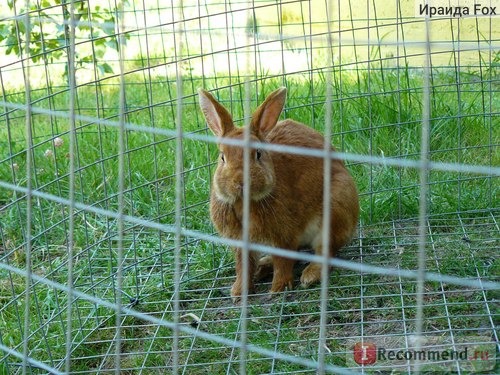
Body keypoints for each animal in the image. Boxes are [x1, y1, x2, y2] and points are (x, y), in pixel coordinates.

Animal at [197, 86, 358, 302]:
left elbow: (283, 262)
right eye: (222, 157)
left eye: (257, 154)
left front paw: (278, 289)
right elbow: (243, 266)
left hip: (334, 210)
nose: (240, 182)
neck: (244, 202)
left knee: (326, 251)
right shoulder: (240, 242)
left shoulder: (284, 235)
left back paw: (309, 275)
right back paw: (263, 267)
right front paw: (239, 293)